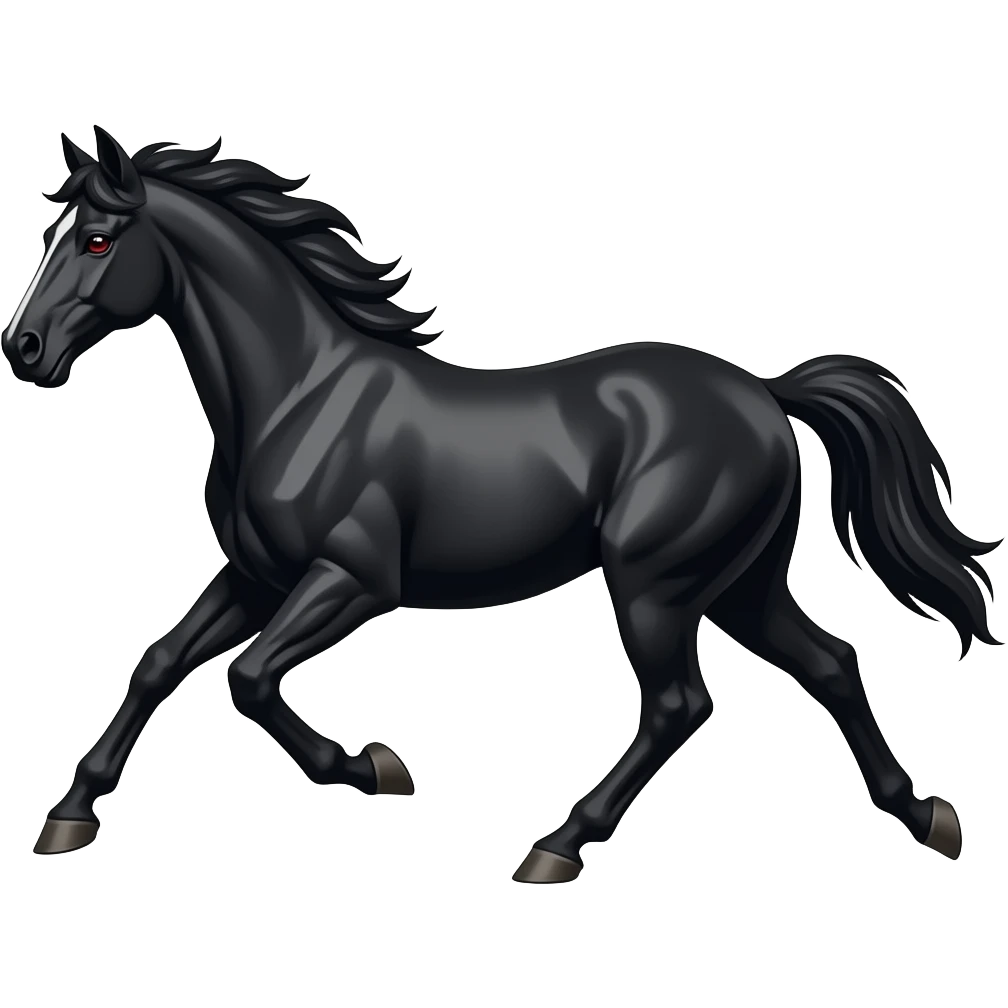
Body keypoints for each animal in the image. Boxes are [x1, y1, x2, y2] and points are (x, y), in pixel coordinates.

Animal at [4, 127, 998, 876]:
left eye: (98, 239)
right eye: (56, 232)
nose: (24, 349)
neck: (298, 395)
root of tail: (765, 393)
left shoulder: (352, 581)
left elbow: (245, 679)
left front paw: (375, 767)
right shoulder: (254, 576)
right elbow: (159, 663)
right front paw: (68, 816)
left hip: (656, 583)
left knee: (680, 704)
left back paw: (556, 847)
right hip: (740, 584)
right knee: (831, 663)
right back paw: (928, 817)